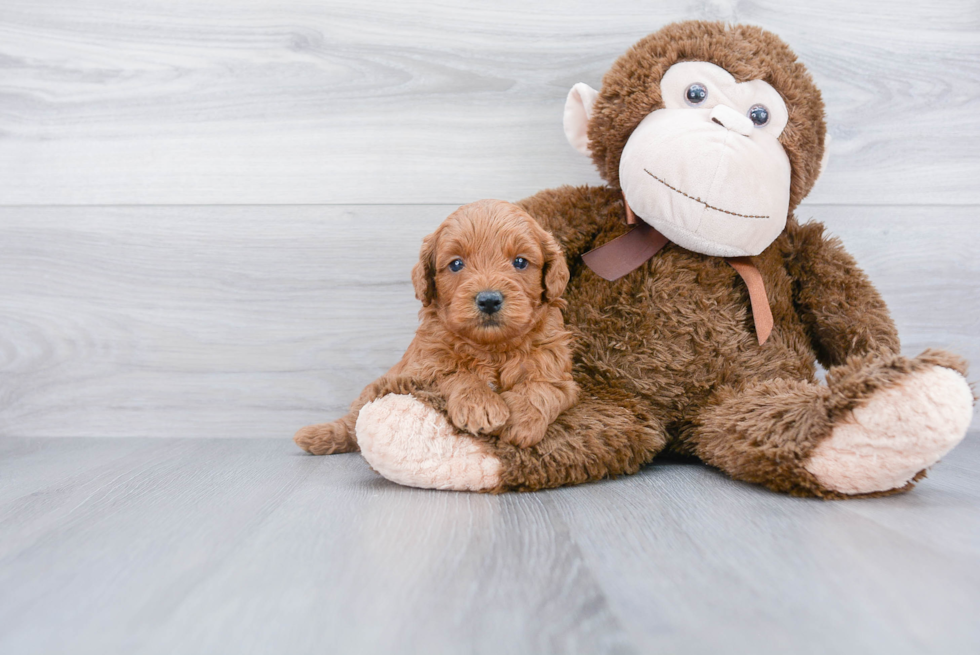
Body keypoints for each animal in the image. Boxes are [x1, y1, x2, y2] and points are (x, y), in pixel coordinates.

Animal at [294, 200, 580, 456]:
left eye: (520, 262)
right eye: (456, 264)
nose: (489, 300)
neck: (492, 348)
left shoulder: (560, 376)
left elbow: (541, 387)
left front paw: (520, 419)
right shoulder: (420, 371)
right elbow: (456, 373)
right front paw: (479, 406)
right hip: (375, 389)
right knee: (351, 422)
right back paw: (318, 436)